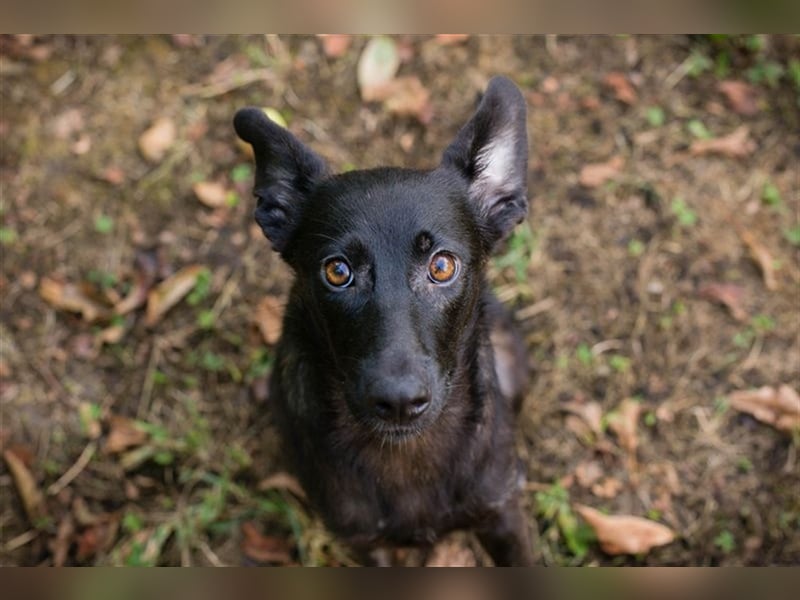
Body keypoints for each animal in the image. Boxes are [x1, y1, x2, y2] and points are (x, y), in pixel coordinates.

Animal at [234, 76, 536, 568]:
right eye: (337, 271)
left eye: (442, 266)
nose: (398, 401)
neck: (407, 455)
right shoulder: (364, 545)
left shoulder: (502, 516)